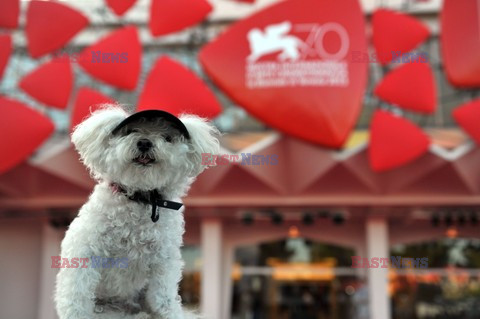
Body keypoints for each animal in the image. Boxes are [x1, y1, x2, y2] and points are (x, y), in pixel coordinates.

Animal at [55, 105, 219, 319]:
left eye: (167, 137)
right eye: (130, 131)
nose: (144, 142)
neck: (141, 198)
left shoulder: (164, 259)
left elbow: (163, 295)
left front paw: (169, 311)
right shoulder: (84, 249)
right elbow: (76, 292)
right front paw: (75, 313)